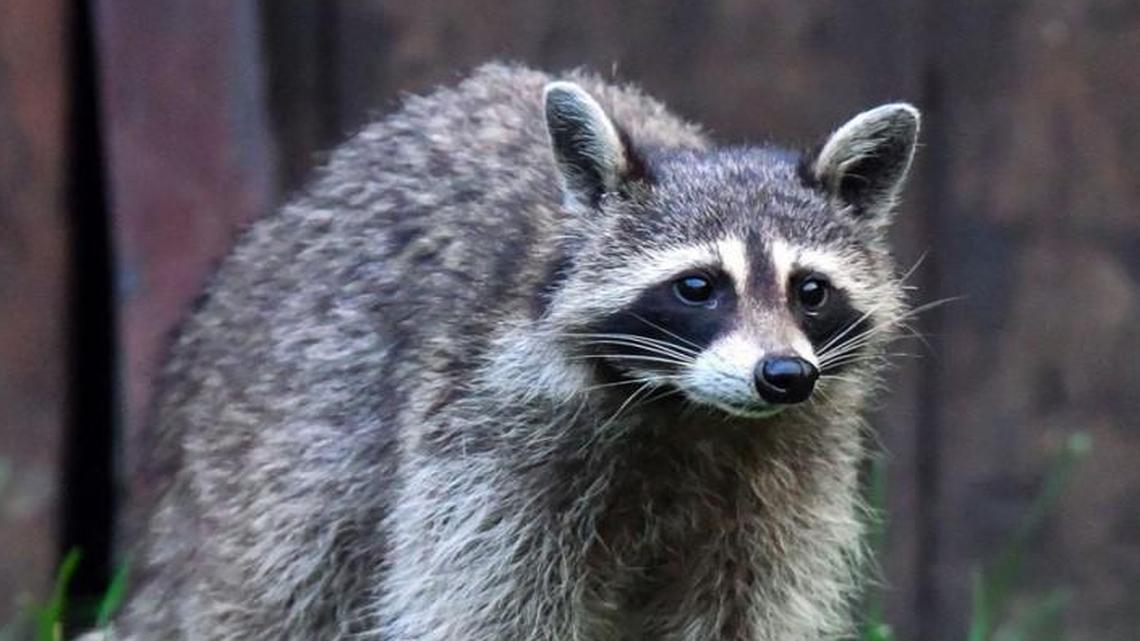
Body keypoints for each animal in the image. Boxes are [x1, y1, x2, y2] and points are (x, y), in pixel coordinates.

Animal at [104, 63, 920, 641]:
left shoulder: (783, 478)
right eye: (698, 286)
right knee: (279, 579)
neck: (687, 409)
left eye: (810, 290)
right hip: (289, 422)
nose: (784, 375)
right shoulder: (488, 436)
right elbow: (485, 602)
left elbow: (746, 607)